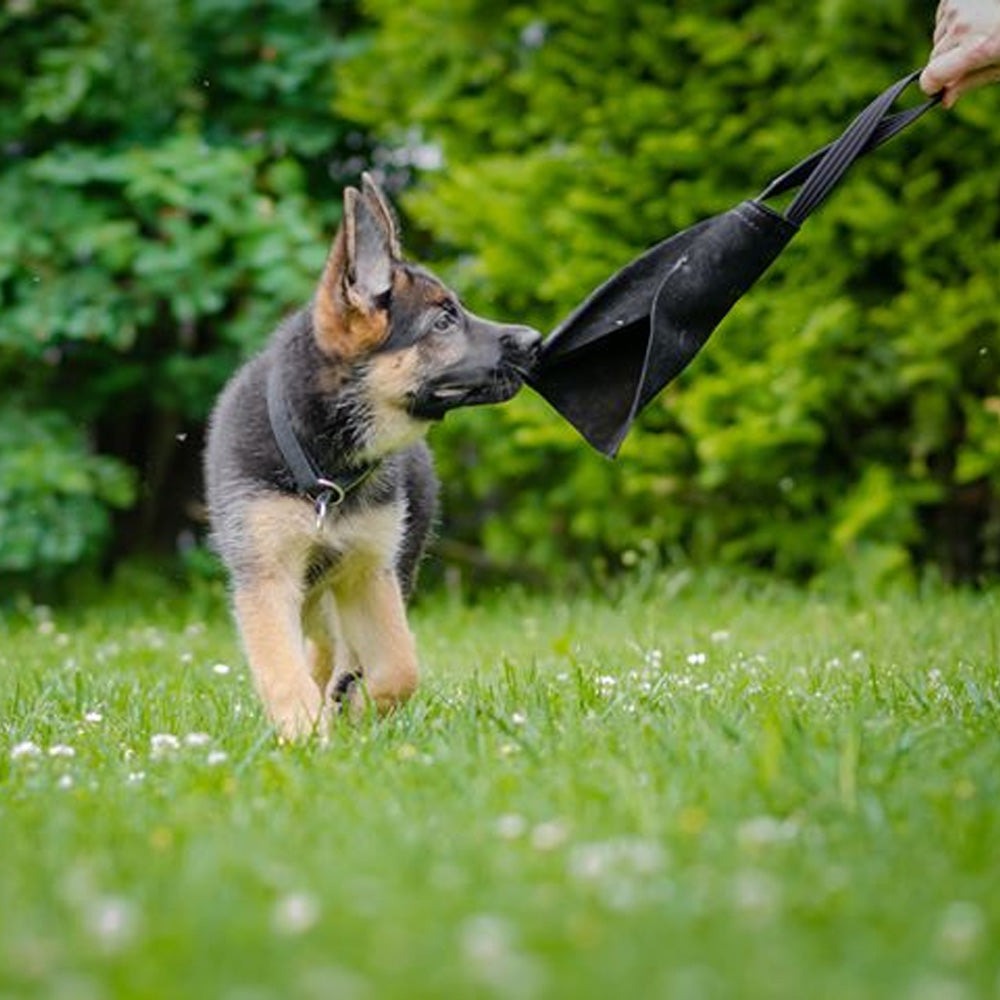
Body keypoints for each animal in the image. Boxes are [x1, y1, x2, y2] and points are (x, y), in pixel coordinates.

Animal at [204, 176, 544, 740]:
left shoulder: (370, 573)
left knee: (335, 650)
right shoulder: (266, 578)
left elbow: (400, 669)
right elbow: (283, 672)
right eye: (444, 320)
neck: (325, 468)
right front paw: (305, 734)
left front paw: (356, 709)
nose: (534, 340)